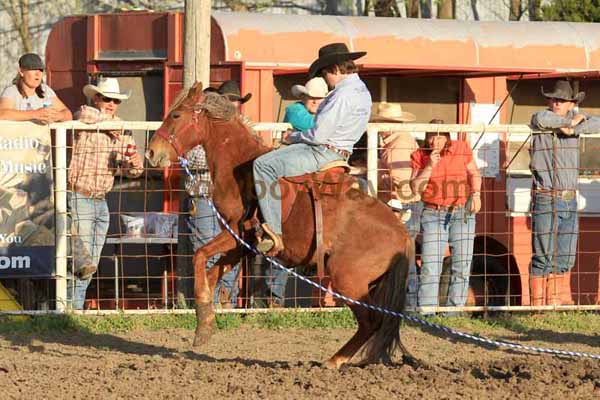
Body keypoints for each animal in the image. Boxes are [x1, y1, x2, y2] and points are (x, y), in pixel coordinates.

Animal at [146, 83, 412, 370]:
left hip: (348, 280)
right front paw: (205, 322)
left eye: (176, 116)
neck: (238, 167)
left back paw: (334, 361)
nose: (151, 152)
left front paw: (204, 321)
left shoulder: (235, 233)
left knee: (370, 321)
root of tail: (402, 233)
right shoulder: (243, 244)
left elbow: (199, 256)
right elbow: (212, 272)